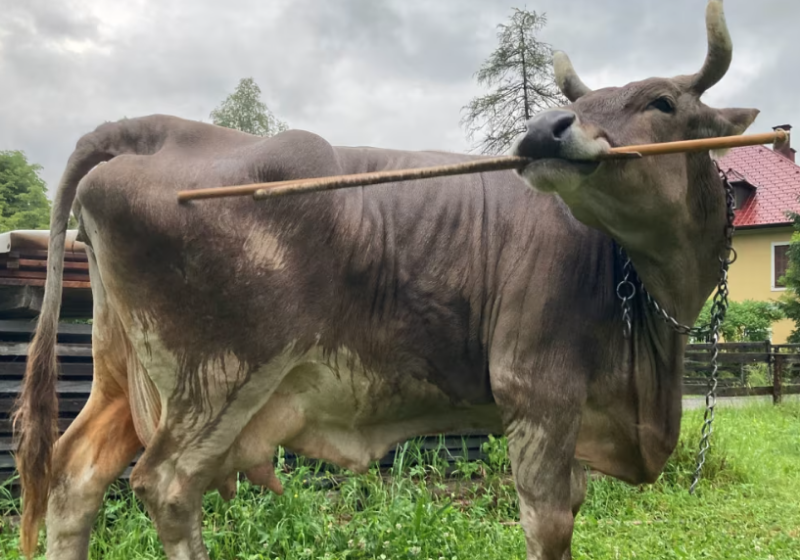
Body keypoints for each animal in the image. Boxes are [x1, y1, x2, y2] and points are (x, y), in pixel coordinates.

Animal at [12, 1, 758, 558]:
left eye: (661, 101)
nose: (545, 129)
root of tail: (155, 128)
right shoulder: (537, 395)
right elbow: (548, 528)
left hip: (124, 374)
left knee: (76, 476)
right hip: (219, 376)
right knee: (166, 487)